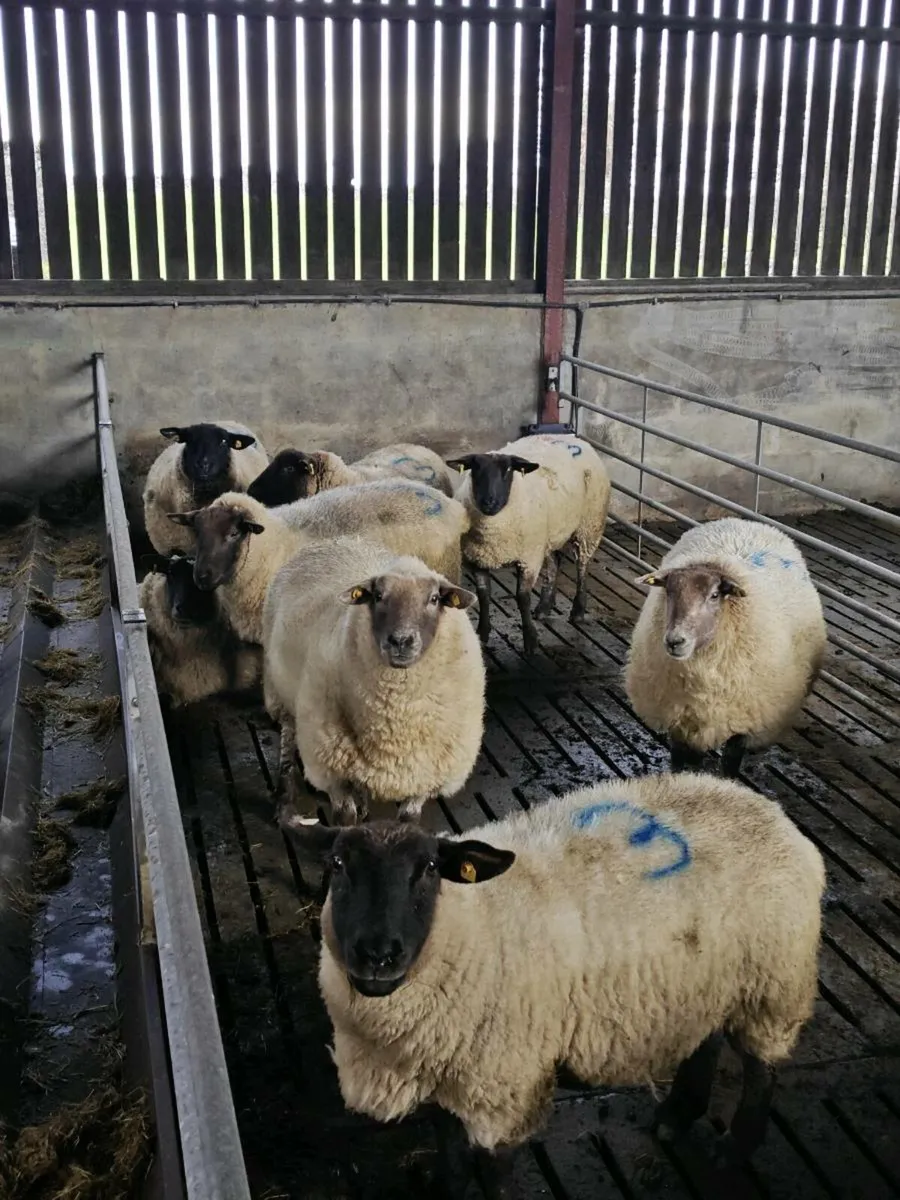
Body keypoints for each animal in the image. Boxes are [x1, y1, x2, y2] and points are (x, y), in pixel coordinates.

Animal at [263, 535, 485, 825]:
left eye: (435, 598)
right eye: (378, 596)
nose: (401, 640)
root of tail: (335, 540)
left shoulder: (426, 775)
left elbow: (409, 820)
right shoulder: (330, 769)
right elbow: (345, 819)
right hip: (278, 690)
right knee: (287, 740)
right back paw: (285, 797)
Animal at [281, 771, 824, 1195]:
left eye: (430, 869)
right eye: (336, 865)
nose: (378, 955)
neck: (471, 925)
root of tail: (766, 807)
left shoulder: (504, 1084)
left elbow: (495, 1176)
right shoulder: (448, 1072)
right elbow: (449, 1155)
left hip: (773, 985)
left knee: (761, 1069)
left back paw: (733, 1148)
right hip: (707, 981)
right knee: (706, 1039)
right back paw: (677, 1116)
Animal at [448, 433, 610, 656]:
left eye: (508, 470)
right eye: (475, 469)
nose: (489, 502)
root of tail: (571, 437)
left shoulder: (529, 559)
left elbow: (522, 598)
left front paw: (530, 640)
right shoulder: (478, 559)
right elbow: (483, 595)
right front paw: (482, 633)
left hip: (589, 525)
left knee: (582, 566)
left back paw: (578, 609)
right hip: (549, 534)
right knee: (554, 562)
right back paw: (544, 606)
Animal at [624, 517, 827, 778]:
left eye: (714, 595)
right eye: (669, 591)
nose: (675, 641)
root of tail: (744, 521)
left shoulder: (743, 720)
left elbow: (730, 762)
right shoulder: (679, 717)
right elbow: (681, 763)